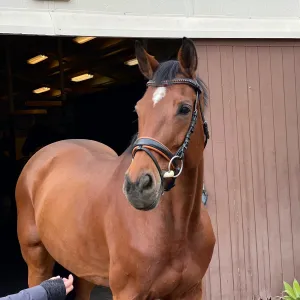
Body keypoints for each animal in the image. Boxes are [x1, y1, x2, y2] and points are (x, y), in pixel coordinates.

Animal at [15, 37, 216, 300]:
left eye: (184, 108)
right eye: (138, 109)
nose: (138, 186)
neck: (177, 228)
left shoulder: (191, 291)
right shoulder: (127, 292)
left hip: (83, 270)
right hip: (37, 260)